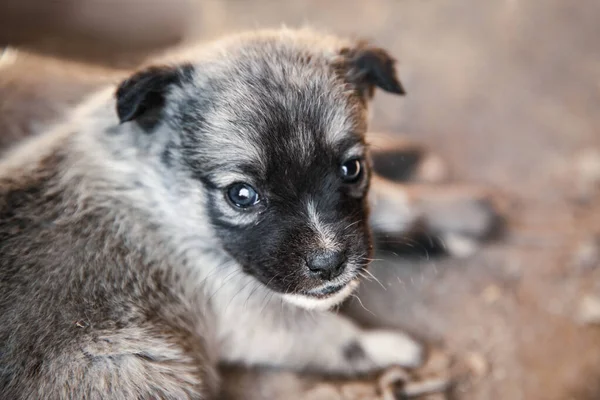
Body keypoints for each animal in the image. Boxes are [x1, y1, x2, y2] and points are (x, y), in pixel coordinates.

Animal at [0, 27, 422, 396]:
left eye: (352, 169)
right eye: (241, 195)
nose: (329, 263)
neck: (159, 192)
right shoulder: (250, 313)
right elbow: (332, 337)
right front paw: (391, 346)